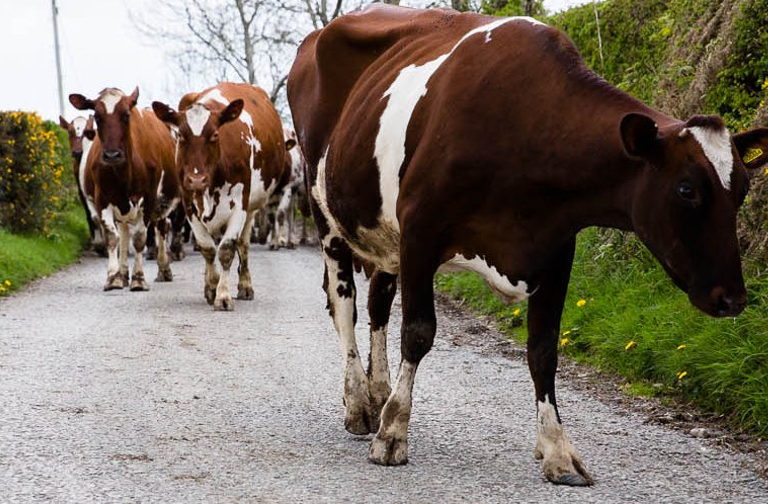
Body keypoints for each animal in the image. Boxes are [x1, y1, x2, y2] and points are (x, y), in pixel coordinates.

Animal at [59, 115, 105, 255]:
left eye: (86, 132)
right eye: (70, 132)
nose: (77, 152)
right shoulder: (81, 190)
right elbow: (89, 214)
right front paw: (97, 241)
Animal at [69, 87, 183, 291]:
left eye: (126, 115)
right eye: (97, 116)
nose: (112, 154)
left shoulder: (148, 199)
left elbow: (139, 238)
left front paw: (138, 279)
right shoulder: (102, 199)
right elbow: (113, 237)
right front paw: (114, 277)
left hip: (162, 202)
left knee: (162, 228)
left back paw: (164, 269)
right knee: (123, 232)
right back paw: (123, 273)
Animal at [151, 82, 286, 311]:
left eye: (215, 135)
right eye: (181, 136)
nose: (197, 180)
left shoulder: (240, 205)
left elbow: (226, 250)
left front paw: (223, 295)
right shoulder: (189, 205)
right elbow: (207, 249)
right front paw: (212, 287)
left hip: (252, 208)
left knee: (243, 244)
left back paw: (245, 285)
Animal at [287, 5, 768, 486]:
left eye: (744, 188)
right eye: (687, 190)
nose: (733, 298)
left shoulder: (556, 249)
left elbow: (543, 350)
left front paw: (558, 450)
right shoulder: (421, 229)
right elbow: (419, 332)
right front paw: (392, 434)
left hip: (383, 234)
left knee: (378, 306)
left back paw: (379, 390)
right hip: (324, 206)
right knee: (344, 305)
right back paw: (359, 404)